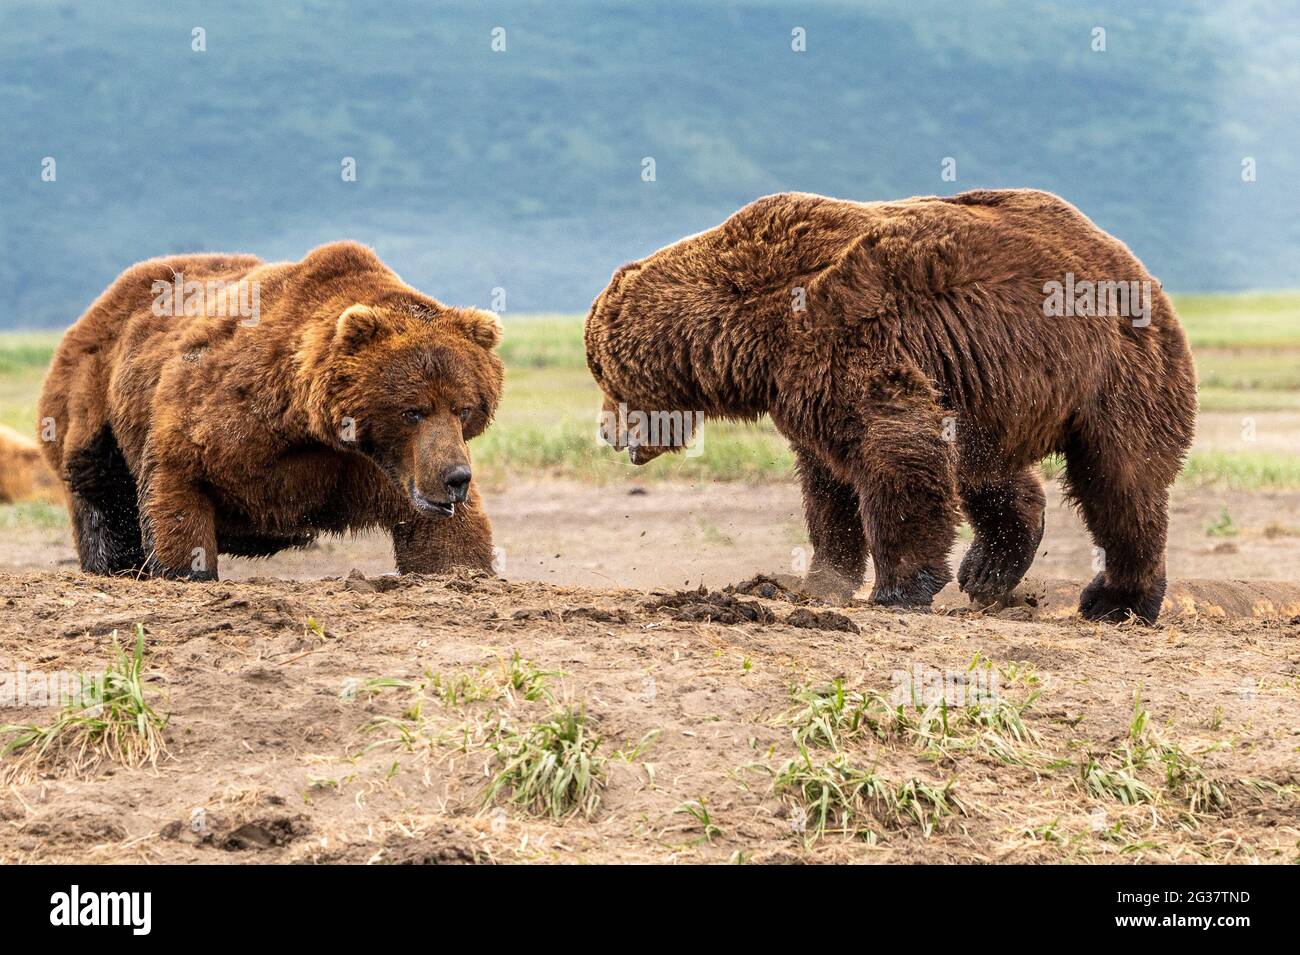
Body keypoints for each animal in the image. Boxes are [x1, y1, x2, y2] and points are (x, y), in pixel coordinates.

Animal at [38, 241, 503, 581]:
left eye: (463, 408)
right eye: (412, 411)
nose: (456, 478)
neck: (308, 424)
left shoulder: (381, 470)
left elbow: (445, 539)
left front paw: (461, 568)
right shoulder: (222, 418)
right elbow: (179, 485)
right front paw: (186, 571)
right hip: (92, 402)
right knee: (102, 499)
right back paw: (113, 565)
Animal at [585, 190, 1197, 624]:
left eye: (602, 373)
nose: (606, 433)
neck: (748, 334)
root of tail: (1128, 258)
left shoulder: (841, 336)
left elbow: (895, 448)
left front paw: (898, 587)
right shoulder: (803, 389)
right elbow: (828, 483)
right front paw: (822, 582)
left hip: (1113, 368)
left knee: (1121, 480)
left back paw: (1117, 600)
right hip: (989, 390)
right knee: (988, 473)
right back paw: (988, 572)